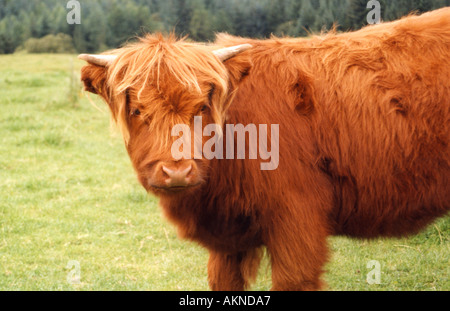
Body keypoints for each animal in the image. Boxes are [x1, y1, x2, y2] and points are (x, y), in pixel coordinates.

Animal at [79, 9, 448, 292]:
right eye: (137, 110)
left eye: (201, 106)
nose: (177, 171)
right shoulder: (227, 242)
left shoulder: (297, 222)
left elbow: (293, 280)